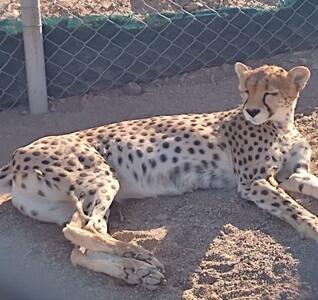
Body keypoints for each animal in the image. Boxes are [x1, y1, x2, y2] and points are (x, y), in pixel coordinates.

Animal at [0, 62, 318, 288]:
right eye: (245, 91)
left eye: (269, 92)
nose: (251, 111)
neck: (281, 124)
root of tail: (17, 153)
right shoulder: (253, 182)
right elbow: (290, 205)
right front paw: (313, 225)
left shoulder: (293, 174)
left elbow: (305, 184)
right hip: (102, 176)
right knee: (81, 230)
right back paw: (138, 255)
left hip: (69, 203)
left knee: (79, 248)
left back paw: (135, 272)